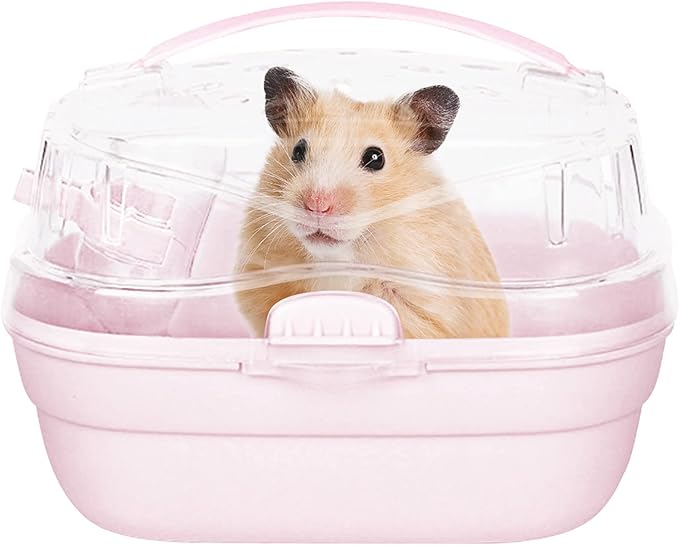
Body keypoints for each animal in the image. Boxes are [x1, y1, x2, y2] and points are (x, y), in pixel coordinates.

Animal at [235, 66, 509, 339]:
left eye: (376, 158)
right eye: (298, 151)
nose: (317, 206)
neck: (337, 259)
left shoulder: (425, 304)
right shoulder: (260, 278)